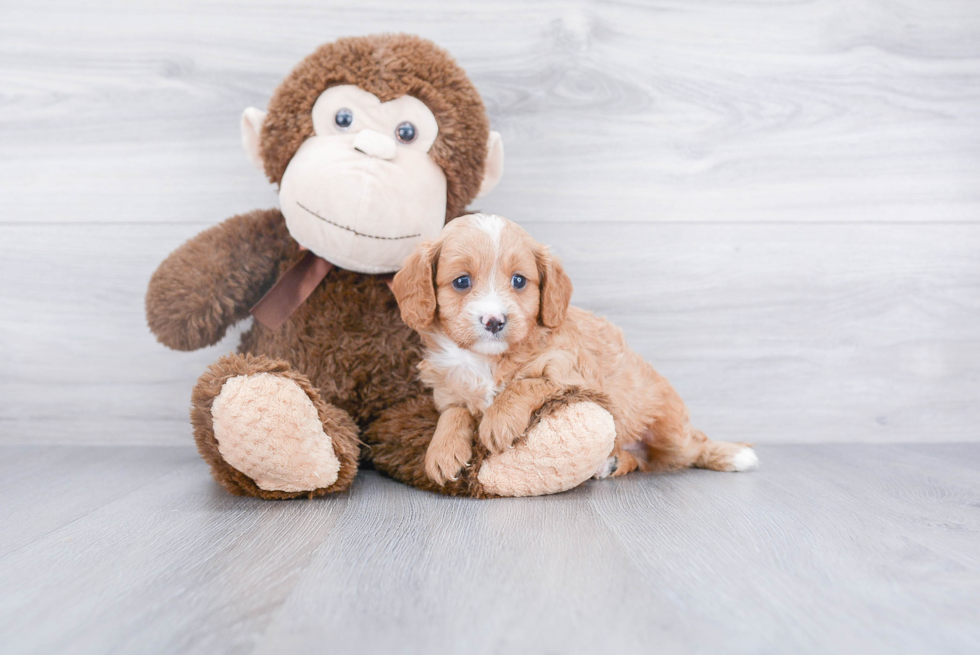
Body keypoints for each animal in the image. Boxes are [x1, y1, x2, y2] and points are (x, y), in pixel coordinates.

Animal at [390, 215, 756, 486]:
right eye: (462, 282)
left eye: (519, 281)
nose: (494, 321)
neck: (487, 359)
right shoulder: (449, 390)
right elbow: (454, 413)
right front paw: (442, 451)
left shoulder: (570, 370)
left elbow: (524, 383)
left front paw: (498, 421)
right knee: (644, 461)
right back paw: (614, 462)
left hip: (669, 431)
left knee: (690, 448)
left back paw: (733, 454)